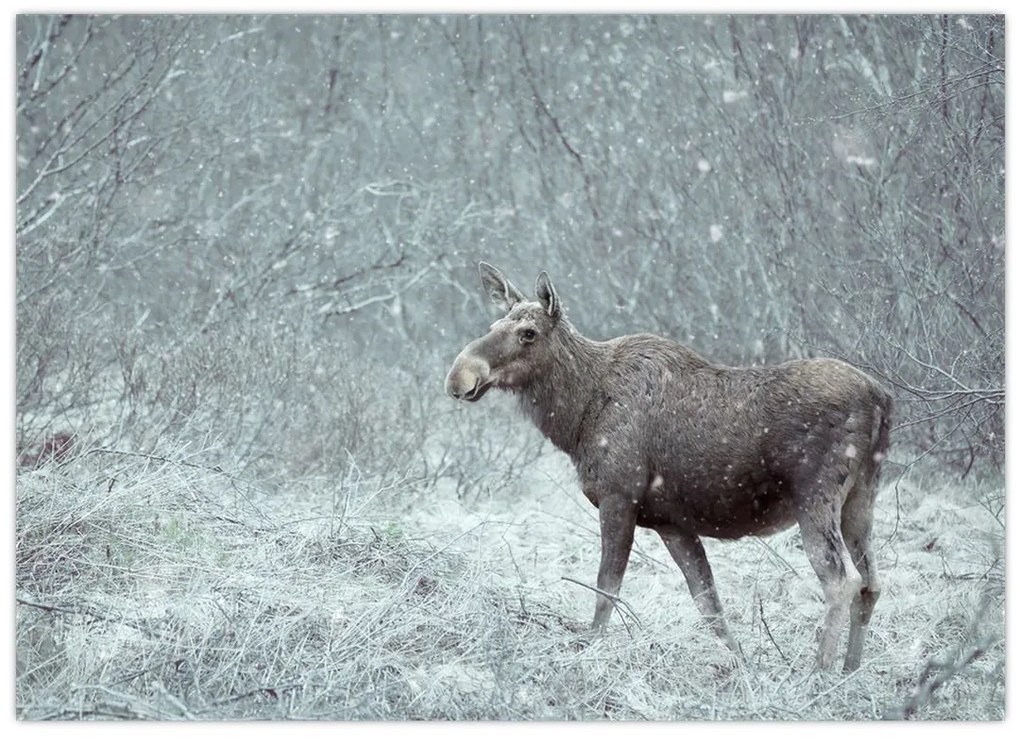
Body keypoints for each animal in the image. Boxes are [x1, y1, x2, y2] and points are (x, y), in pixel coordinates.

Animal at [448, 263, 893, 669]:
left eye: (529, 332)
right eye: (494, 323)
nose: (459, 375)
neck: (575, 418)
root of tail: (882, 400)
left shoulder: (618, 496)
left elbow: (606, 588)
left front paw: (588, 651)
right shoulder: (671, 522)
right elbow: (709, 604)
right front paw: (743, 667)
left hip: (815, 494)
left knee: (841, 580)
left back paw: (820, 673)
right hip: (861, 495)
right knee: (871, 582)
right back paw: (851, 670)